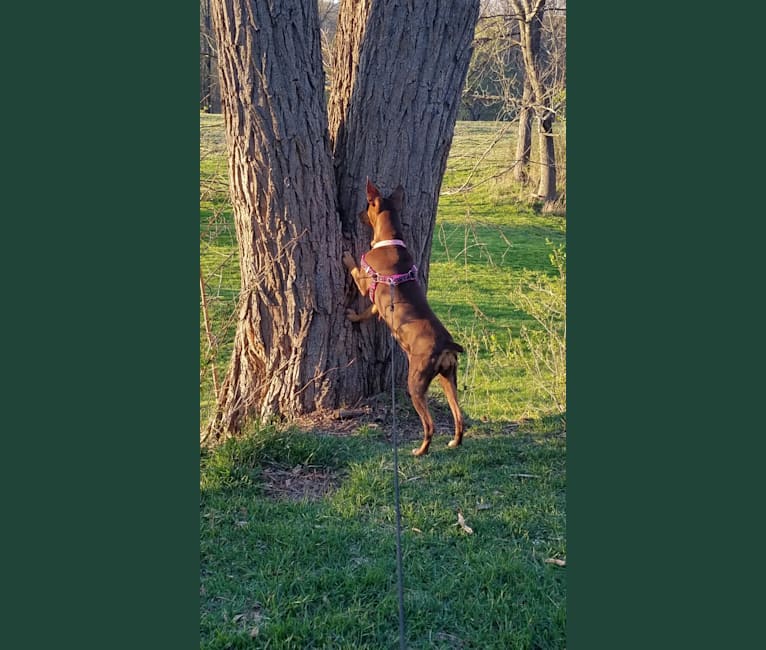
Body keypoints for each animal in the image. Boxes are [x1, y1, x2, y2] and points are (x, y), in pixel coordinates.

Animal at [344, 178, 464, 456]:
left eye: (366, 205)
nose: (356, 214)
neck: (390, 240)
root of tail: (446, 344)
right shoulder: (377, 304)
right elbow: (366, 313)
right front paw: (354, 317)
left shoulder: (366, 283)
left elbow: (355, 268)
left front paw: (347, 256)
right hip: (448, 377)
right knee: (459, 416)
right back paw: (455, 441)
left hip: (416, 382)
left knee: (430, 424)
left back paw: (421, 450)